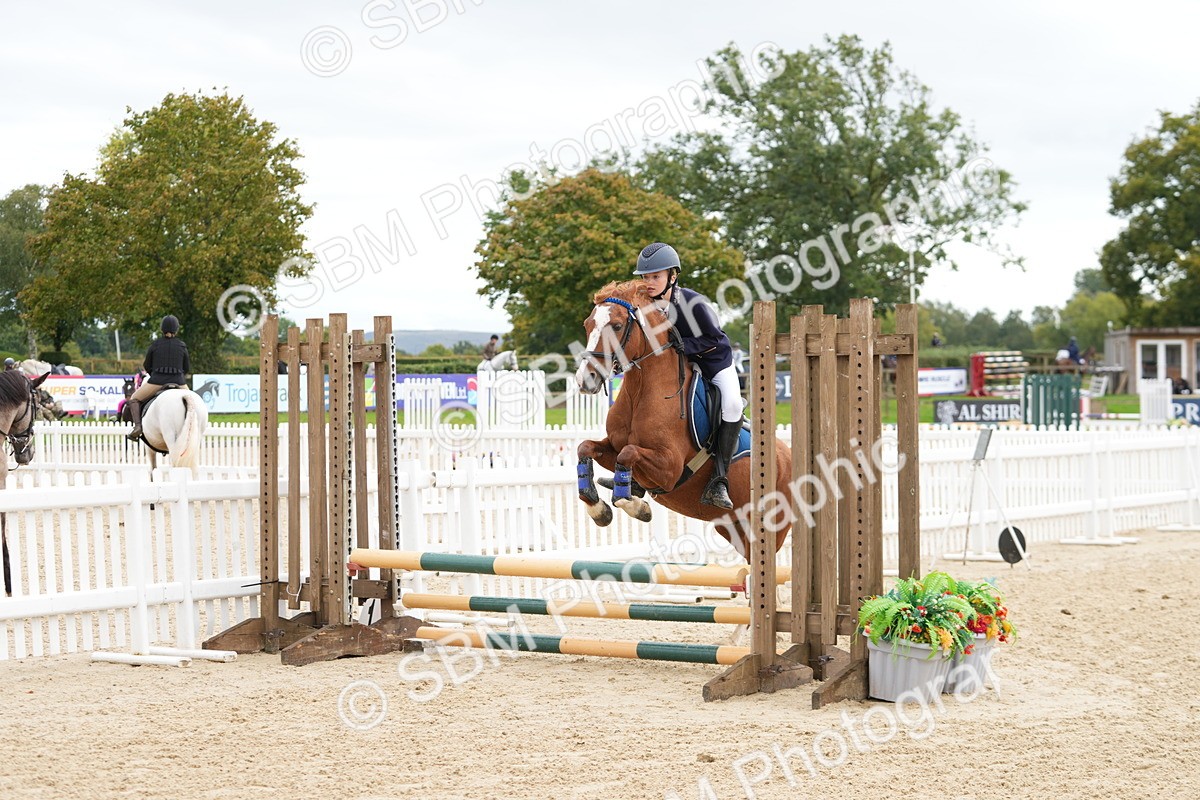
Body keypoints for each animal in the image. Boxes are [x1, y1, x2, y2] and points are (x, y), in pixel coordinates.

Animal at [573, 280, 793, 560]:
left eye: (618, 326)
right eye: (587, 324)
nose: (585, 380)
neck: (642, 389)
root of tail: (789, 457)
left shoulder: (669, 468)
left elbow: (629, 454)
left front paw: (636, 506)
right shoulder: (614, 446)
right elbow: (586, 447)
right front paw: (599, 508)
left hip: (772, 527)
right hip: (732, 526)